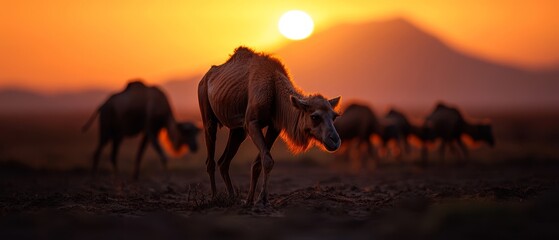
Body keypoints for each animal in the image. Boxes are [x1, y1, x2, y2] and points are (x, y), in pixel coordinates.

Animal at [199, 46, 344, 204]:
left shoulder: (274, 127)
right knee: (210, 160)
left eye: (335, 116)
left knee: (223, 162)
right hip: (208, 115)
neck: (274, 89)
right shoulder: (251, 123)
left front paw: (249, 200)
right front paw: (262, 199)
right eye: (315, 117)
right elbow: (268, 160)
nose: (335, 140)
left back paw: (232, 197)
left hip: (238, 130)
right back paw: (214, 197)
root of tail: (205, 79)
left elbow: (258, 163)